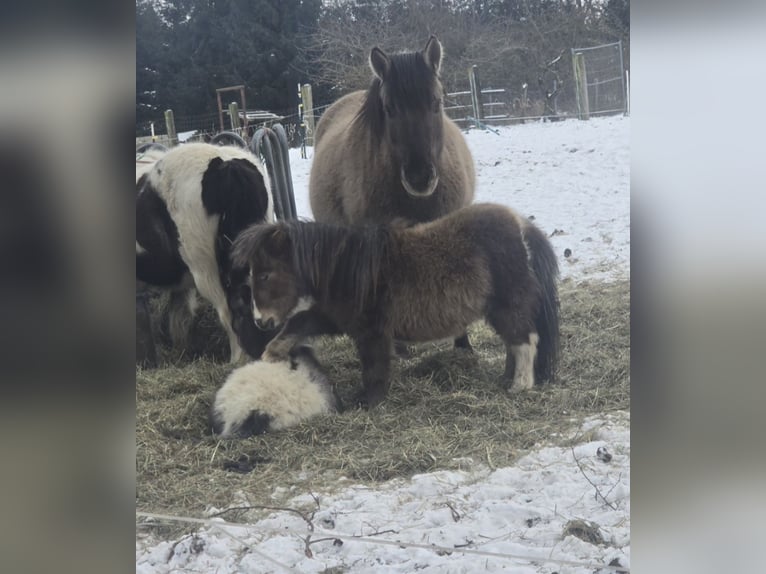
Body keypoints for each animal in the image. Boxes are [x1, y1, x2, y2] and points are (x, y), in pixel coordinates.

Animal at [231, 203, 560, 408]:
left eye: (265, 274)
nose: (260, 320)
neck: (346, 269)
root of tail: (520, 225)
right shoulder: (337, 318)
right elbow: (299, 322)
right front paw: (273, 352)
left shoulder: (371, 331)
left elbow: (374, 365)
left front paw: (368, 400)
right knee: (514, 342)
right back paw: (507, 378)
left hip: (508, 304)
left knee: (525, 340)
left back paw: (521, 385)